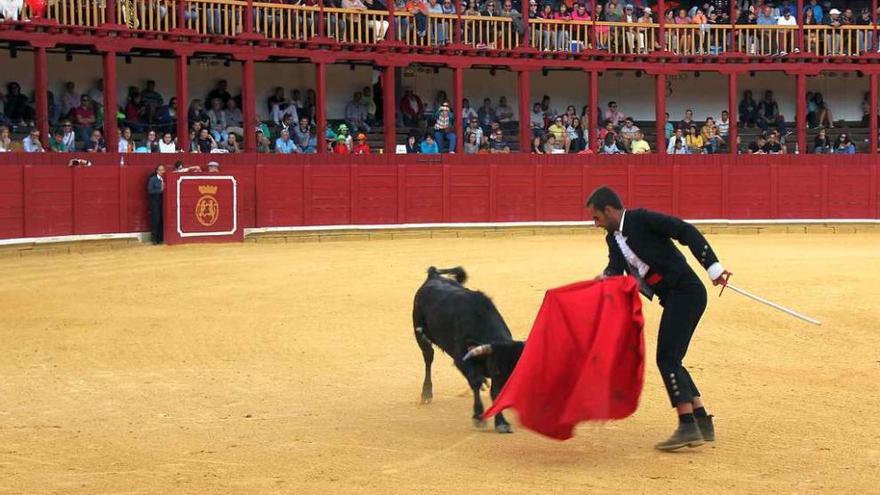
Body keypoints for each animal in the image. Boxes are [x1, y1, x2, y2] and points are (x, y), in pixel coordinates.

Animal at [410, 268, 524, 434]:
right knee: (428, 359)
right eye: (496, 369)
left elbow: (493, 392)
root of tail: (433, 275)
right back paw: (426, 394)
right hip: (420, 336)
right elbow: (476, 382)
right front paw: (479, 416)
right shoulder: (461, 359)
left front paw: (501, 422)